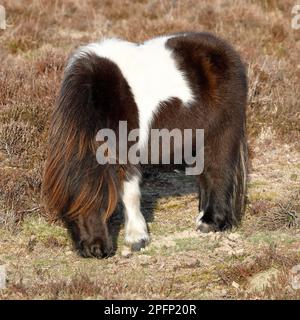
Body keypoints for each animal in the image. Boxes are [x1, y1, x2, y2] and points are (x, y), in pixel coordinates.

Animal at [42, 32, 248, 258]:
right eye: (70, 209)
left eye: (103, 200)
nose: (97, 251)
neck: (98, 98)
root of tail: (223, 49)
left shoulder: (126, 152)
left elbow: (130, 193)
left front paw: (136, 237)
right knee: (204, 176)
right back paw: (202, 212)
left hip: (220, 133)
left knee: (217, 171)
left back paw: (210, 222)